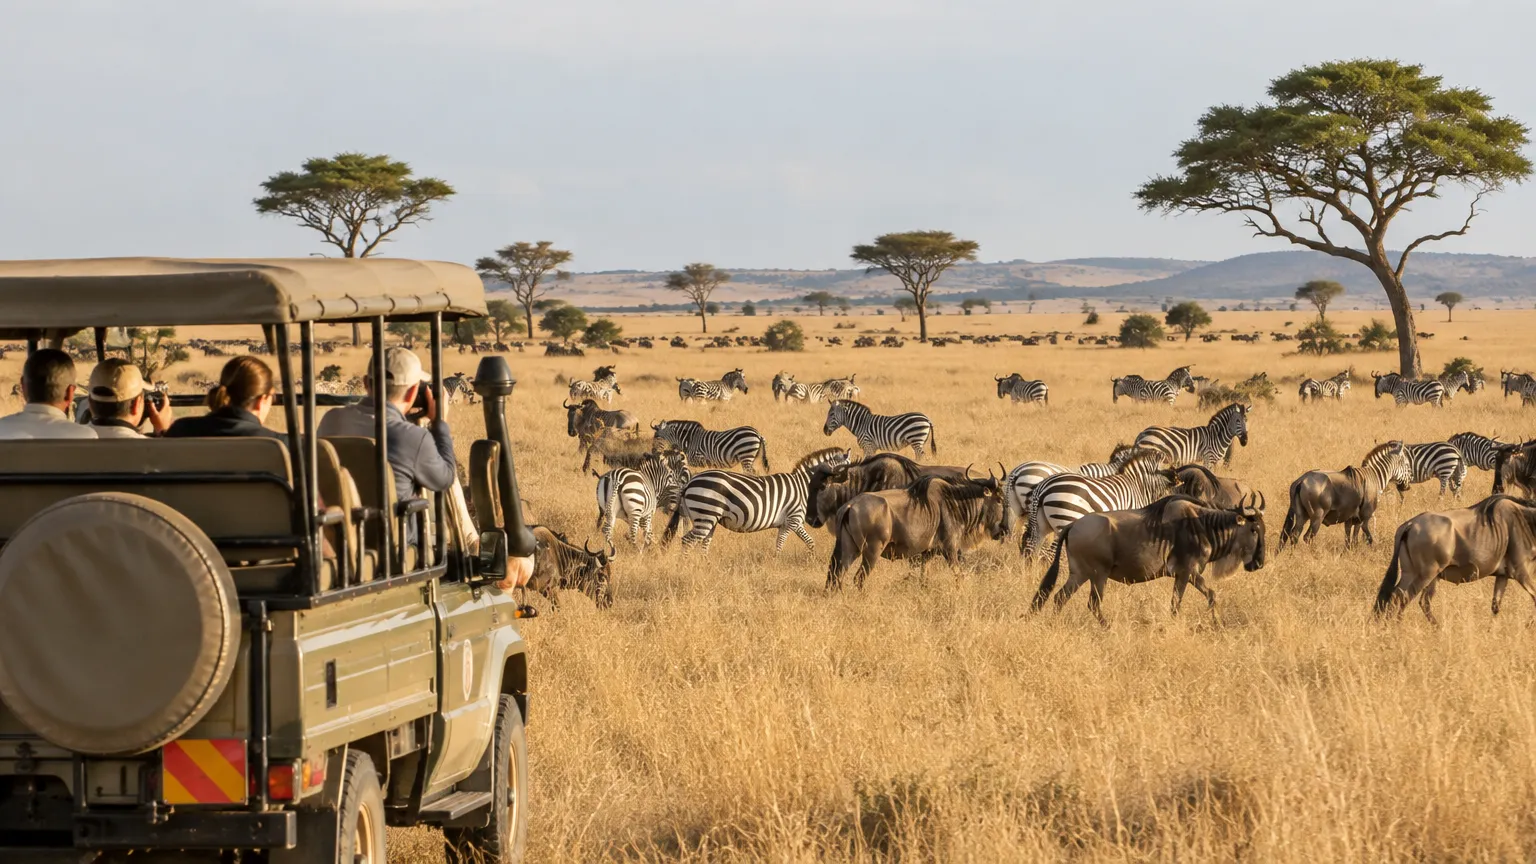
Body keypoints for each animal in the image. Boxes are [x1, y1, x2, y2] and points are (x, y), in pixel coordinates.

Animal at [661, 447, 851, 553]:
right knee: (687, 541)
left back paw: (704, 566)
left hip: (706, 518)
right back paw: (685, 566)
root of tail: (690, 482)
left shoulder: (788, 523)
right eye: (849, 469)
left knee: (703, 542)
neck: (803, 485)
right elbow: (796, 543)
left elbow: (794, 543)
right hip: (706, 514)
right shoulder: (794, 519)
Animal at [1024, 450, 1176, 557]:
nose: (1179, 479)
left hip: (1041, 526)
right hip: (1065, 519)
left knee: (1033, 550)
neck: (1139, 485)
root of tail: (1041, 488)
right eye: (1170, 468)